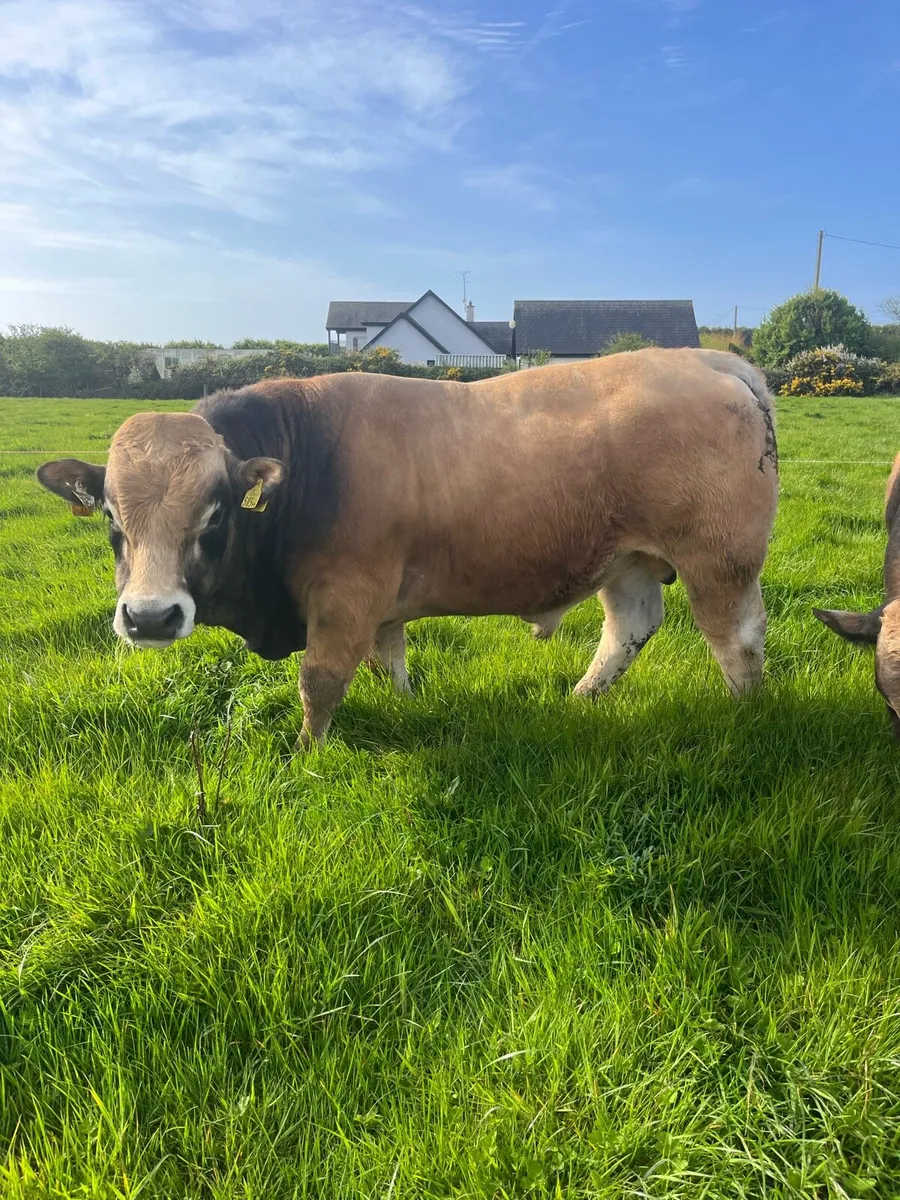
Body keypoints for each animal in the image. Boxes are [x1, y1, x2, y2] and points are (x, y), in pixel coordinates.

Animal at [37, 348, 779, 749]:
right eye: (110, 515)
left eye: (215, 513)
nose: (150, 617)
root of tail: (707, 359)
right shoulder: (380, 605)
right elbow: (387, 660)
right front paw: (405, 706)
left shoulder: (345, 598)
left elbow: (320, 681)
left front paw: (305, 755)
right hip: (626, 562)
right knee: (630, 628)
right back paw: (580, 699)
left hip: (720, 564)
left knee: (735, 640)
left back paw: (745, 715)